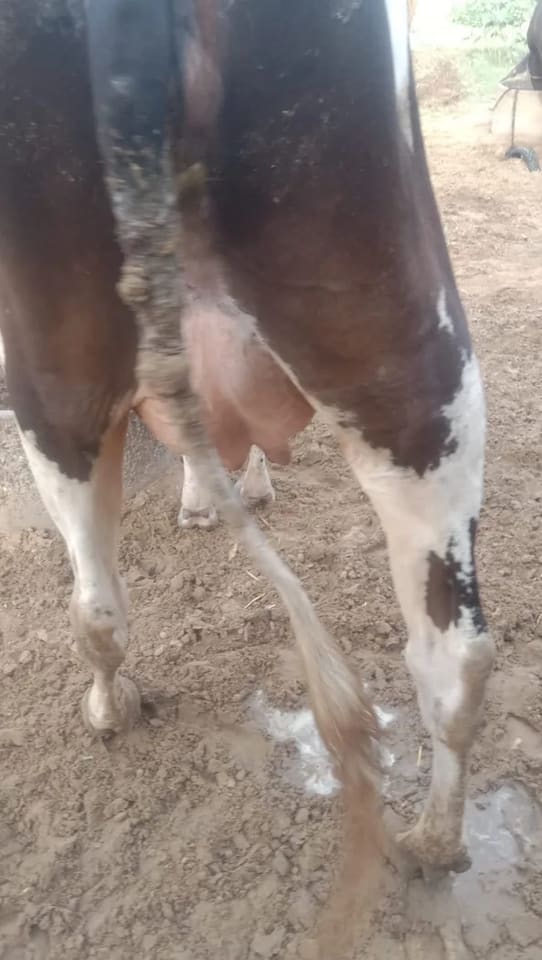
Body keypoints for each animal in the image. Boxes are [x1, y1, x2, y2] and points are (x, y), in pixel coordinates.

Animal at [0, 0, 494, 878]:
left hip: (50, 364)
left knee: (95, 601)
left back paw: (111, 708)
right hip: (401, 345)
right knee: (455, 653)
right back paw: (432, 842)